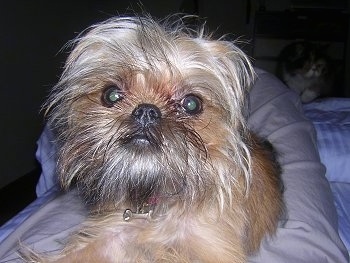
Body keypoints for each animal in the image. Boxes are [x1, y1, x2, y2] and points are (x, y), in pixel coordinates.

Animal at [27, 14, 284, 263]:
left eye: (192, 104)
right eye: (111, 95)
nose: (146, 110)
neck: (155, 204)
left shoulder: (213, 249)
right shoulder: (110, 236)